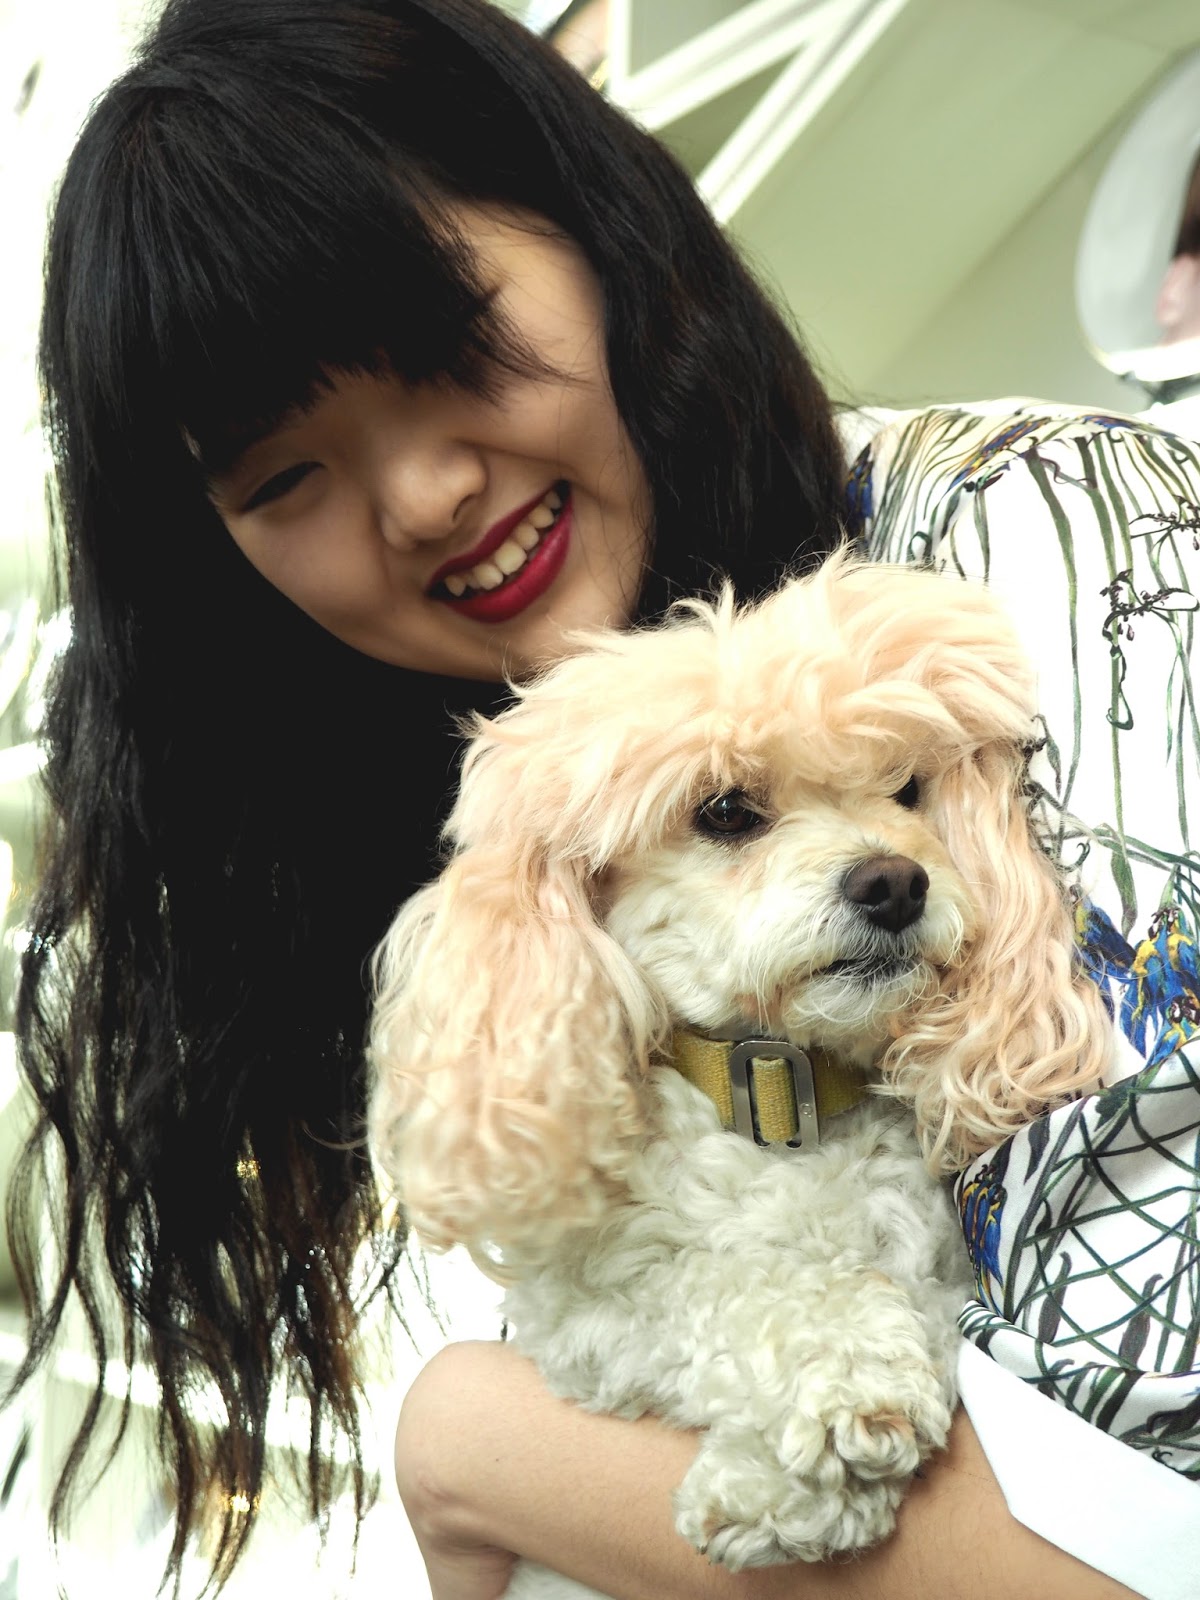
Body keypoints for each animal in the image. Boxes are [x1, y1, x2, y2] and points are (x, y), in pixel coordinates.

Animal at [369, 552, 1112, 1598]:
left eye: (908, 788)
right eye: (725, 811)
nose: (895, 882)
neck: (778, 1095)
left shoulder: (938, 1265)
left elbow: (927, 1314)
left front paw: (777, 1487)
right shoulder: (584, 1323)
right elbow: (723, 1286)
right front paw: (839, 1395)